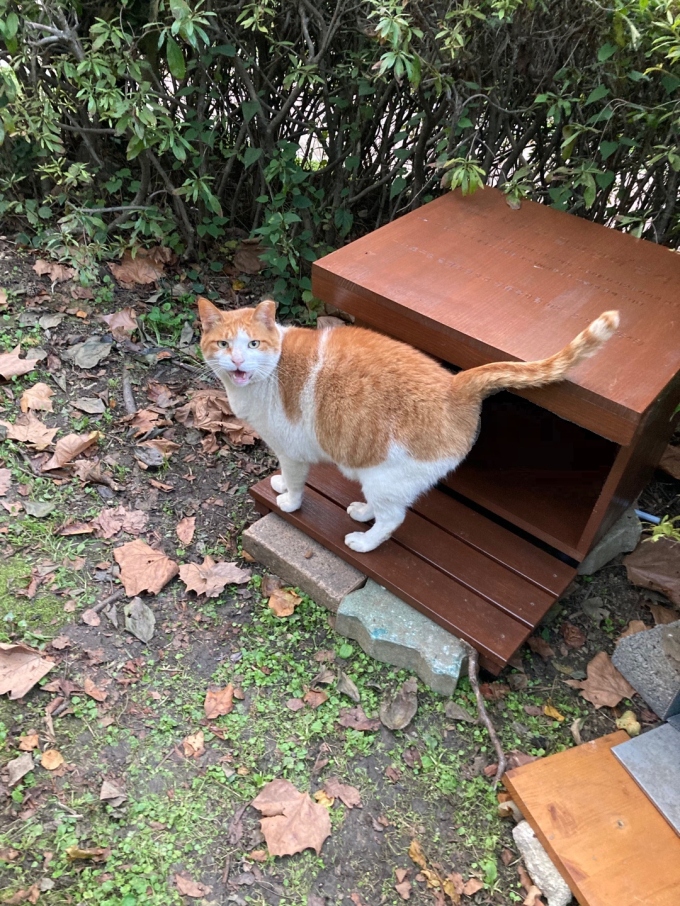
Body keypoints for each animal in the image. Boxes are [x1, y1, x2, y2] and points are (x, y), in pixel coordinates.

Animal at [199, 298, 620, 552]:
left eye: (253, 344)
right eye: (223, 344)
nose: (237, 360)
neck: (266, 376)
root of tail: (455, 383)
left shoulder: (292, 452)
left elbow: (297, 483)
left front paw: (288, 499)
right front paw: (282, 487)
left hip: (385, 476)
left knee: (394, 518)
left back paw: (364, 540)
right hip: (382, 477)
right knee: (388, 508)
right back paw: (362, 511)